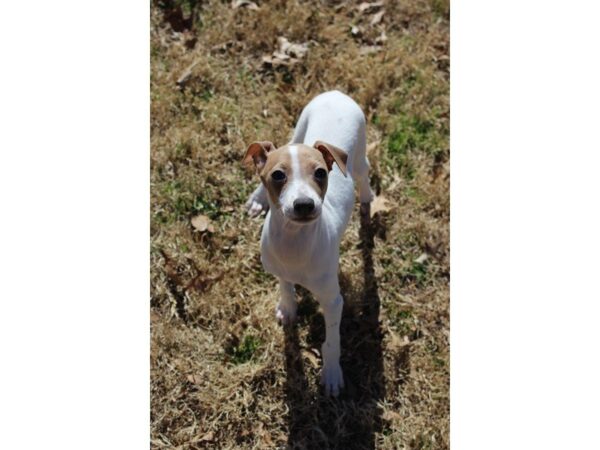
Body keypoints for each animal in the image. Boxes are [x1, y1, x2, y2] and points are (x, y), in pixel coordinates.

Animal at [241, 90, 372, 394]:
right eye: (278, 175)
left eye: (321, 173)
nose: (303, 205)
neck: (294, 242)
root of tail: (336, 93)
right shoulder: (278, 267)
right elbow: (285, 285)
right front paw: (288, 308)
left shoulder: (333, 300)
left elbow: (332, 341)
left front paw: (332, 373)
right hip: (299, 126)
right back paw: (257, 199)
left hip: (359, 152)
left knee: (364, 170)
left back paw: (368, 198)